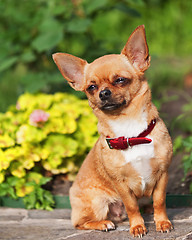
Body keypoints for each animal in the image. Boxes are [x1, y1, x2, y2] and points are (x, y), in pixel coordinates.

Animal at [52, 25, 172, 237]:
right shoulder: (121, 183)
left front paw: (162, 222)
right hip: (97, 202)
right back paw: (103, 224)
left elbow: (159, 201)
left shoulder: (162, 174)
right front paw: (138, 227)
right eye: (91, 87)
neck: (131, 131)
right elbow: (131, 206)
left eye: (120, 80)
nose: (103, 93)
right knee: (80, 223)